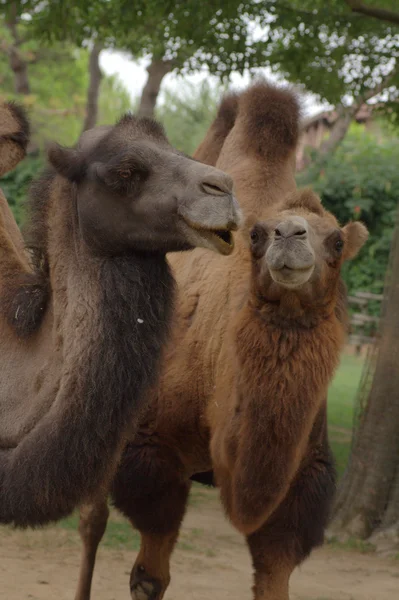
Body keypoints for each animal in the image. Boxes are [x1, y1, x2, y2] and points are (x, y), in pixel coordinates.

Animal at [73, 81, 368, 600]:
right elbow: (148, 579)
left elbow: (274, 575)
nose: (288, 237)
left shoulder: (301, 486)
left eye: (336, 241)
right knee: (92, 517)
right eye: (255, 234)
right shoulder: (152, 456)